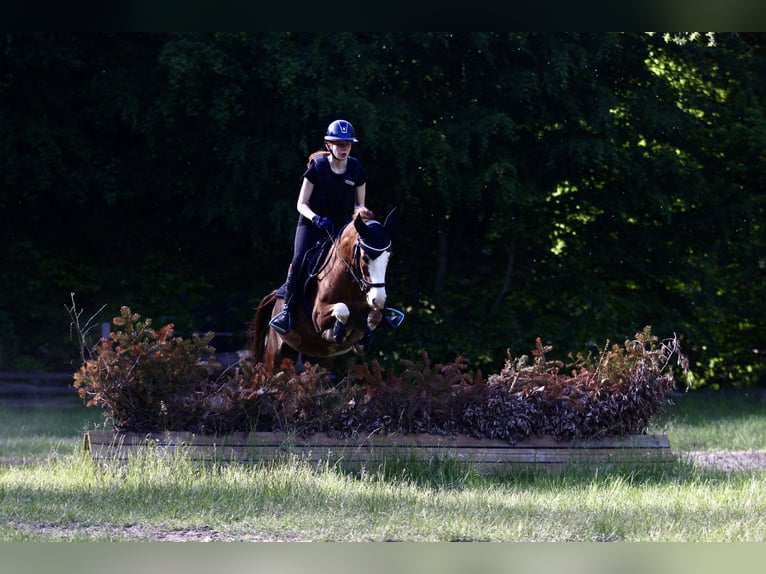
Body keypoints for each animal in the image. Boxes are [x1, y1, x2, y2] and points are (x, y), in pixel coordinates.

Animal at [252, 209, 396, 376]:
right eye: (365, 257)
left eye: (389, 257)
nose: (378, 300)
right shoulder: (318, 316)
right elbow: (342, 309)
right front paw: (337, 332)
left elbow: (375, 316)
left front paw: (363, 340)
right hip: (275, 354)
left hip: (315, 359)